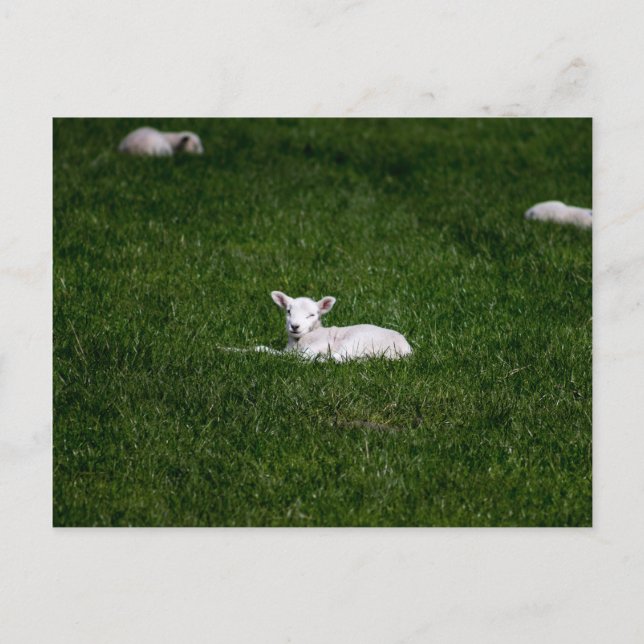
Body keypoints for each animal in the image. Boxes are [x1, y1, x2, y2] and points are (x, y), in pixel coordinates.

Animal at [270, 291, 412, 362]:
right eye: (288, 311)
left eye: (311, 315)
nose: (294, 326)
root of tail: (403, 350)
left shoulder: (322, 342)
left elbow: (303, 354)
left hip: (356, 341)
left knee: (338, 358)